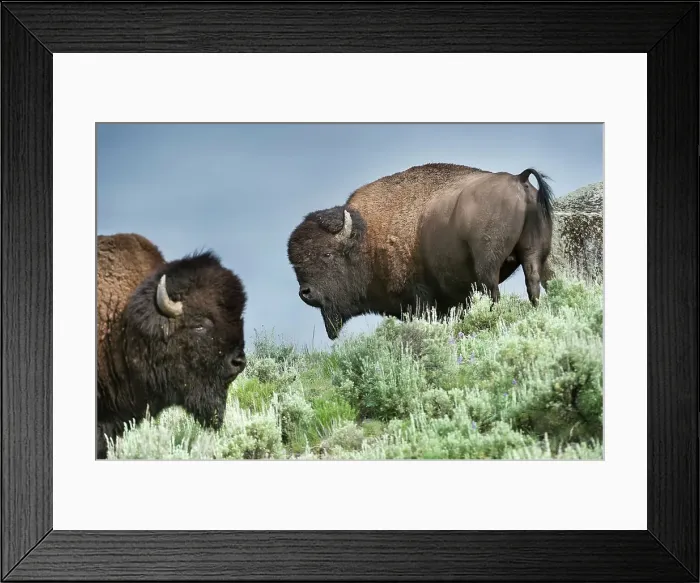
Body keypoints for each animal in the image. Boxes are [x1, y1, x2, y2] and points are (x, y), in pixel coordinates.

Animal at [287, 163, 554, 340]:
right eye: (295, 264)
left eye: (327, 254)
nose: (306, 293)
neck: (366, 238)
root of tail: (519, 179)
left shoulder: (419, 298)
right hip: (532, 255)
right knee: (533, 284)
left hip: (486, 268)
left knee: (494, 294)